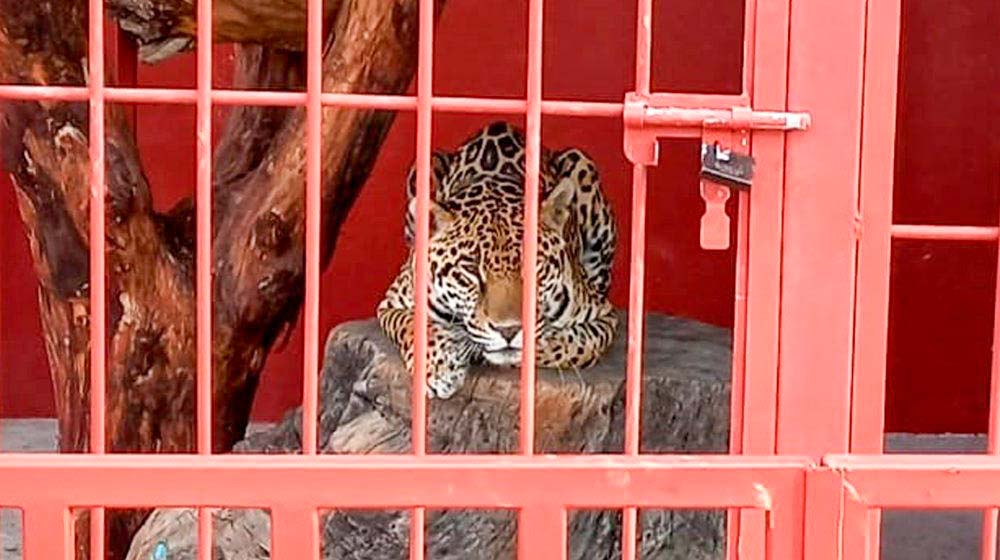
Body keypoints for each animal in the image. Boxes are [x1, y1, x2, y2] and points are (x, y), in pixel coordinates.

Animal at [377, 121, 618, 399]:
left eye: (533, 265)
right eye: (470, 270)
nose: (509, 331)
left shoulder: (605, 316)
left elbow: (572, 345)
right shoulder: (390, 302)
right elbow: (411, 325)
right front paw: (439, 365)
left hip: (583, 166)